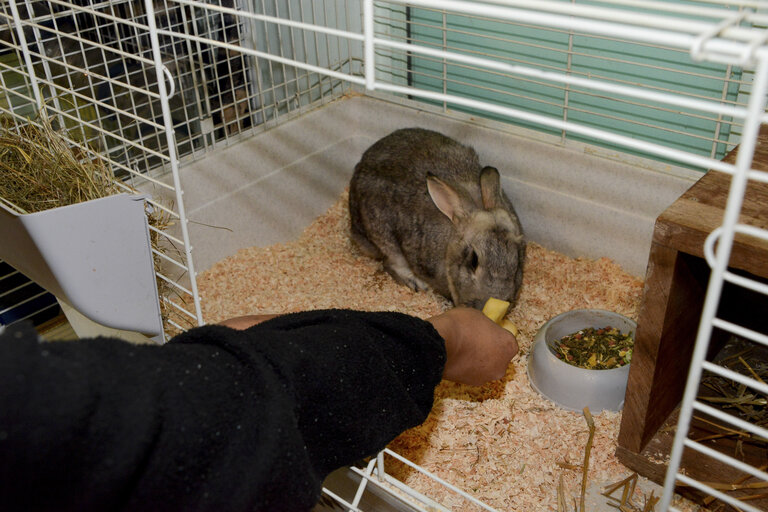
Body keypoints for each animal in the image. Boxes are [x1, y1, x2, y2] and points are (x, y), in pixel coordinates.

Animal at [350, 130, 524, 310]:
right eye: (473, 260)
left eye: (518, 260)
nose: (491, 302)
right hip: (384, 238)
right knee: (389, 263)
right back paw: (415, 283)